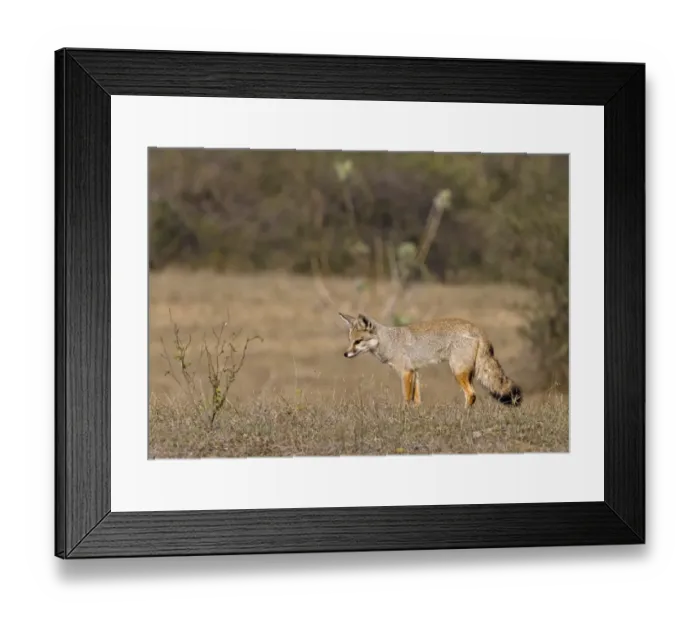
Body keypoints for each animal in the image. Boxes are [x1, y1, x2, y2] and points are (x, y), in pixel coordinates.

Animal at [338, 312, 522, 407]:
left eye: (358, 342)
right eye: (350, 340)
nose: (345, 354)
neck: (389, 341)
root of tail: (477, 328)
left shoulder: (406, 372)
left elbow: (407, 399)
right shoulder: (415, 373)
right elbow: (417, 400)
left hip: (457, 372)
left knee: (471, 394)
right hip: (467, 373)